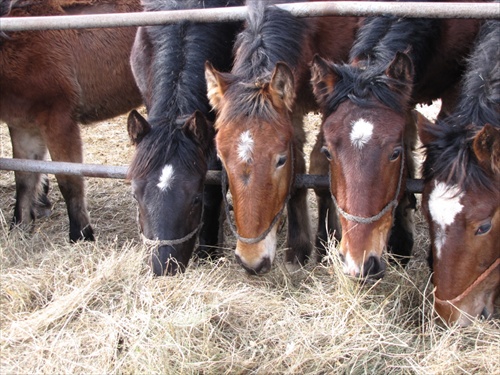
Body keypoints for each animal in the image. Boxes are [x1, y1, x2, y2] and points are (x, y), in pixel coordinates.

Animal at [0, 0, 142, 241]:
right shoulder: (23, 125)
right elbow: (24, 177)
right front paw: (19, 227)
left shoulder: (58, 120)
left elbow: (68, 178)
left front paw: (81, 233)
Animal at [204, 0, 360, 276]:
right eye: (222, 160)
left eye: (280, 160)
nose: (251, 261)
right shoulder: (292, 111)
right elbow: (297, 178)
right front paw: (297, 249)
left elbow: (322, 174)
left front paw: (325, 242)